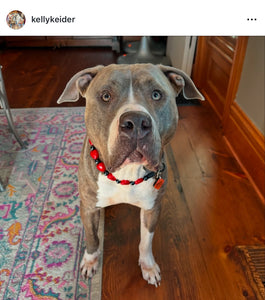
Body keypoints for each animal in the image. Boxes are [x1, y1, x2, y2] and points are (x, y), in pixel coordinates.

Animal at [56, 63, 203, 286]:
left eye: (156, 94)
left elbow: (146, 241)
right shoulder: (88, 207)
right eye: (106, 96)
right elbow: (92, 237)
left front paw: (148, 266)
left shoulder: (152, 208)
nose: (135, 122)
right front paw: (90, 261)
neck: (127, 173)